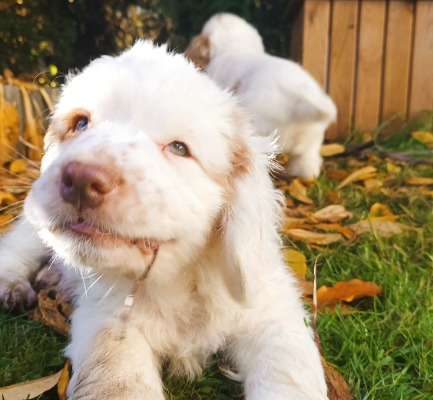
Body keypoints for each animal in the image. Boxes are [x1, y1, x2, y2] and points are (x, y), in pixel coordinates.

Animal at [0, 41, 326, 400]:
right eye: (80, 123)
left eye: (179, 148)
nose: (81, 179)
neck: (179, 281)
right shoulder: (109, 323)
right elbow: (119, 379)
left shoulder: (273, 316)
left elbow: (288, 374)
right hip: (34, 226)